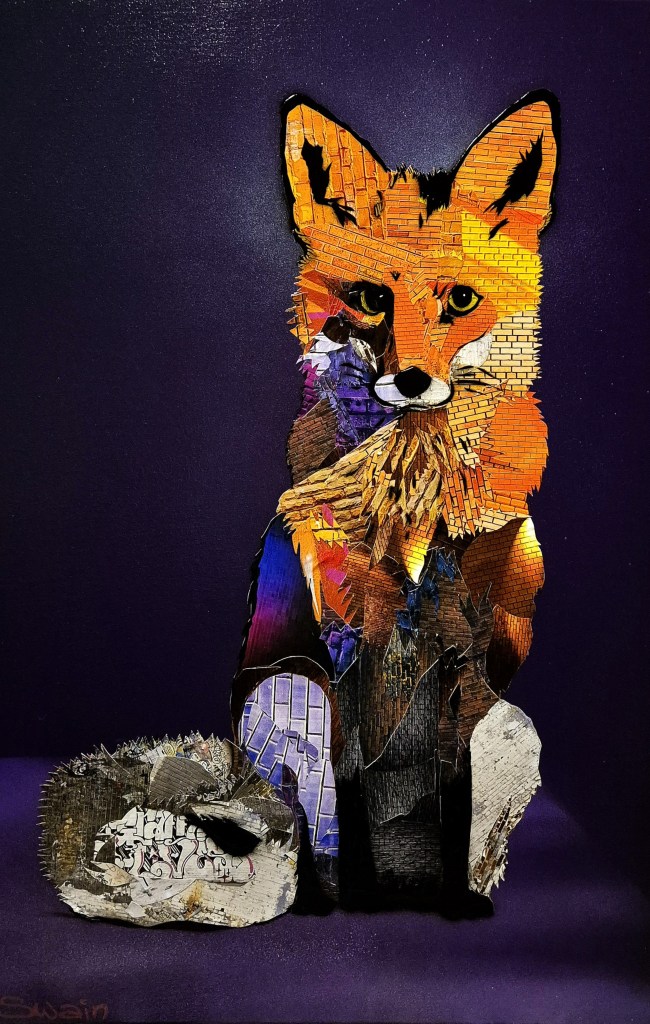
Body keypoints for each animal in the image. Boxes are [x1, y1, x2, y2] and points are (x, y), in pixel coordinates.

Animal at [232, 91, 560, 916]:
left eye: (461, 300)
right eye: (370, 299)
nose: (412, 381)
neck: (414, 495)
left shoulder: (467, 657)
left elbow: (457, 791)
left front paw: (454, 899)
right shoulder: (345, 650)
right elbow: (347, 786)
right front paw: (354, 896)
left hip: (511, 722)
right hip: (284, 689)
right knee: (301, 834)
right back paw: (326, 895)